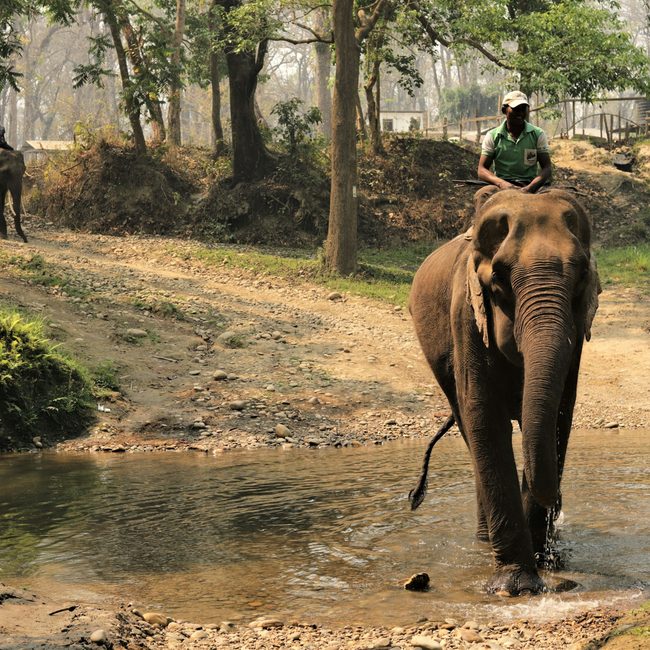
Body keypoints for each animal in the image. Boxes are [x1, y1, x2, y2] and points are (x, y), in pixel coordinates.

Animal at [408, 186, 600, 596]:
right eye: (498, 278)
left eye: (581, 277)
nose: (557, 504)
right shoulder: (465, 315)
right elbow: (485, 418)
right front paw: (516, 587)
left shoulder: (576, 341)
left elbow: (558, 417)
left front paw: (544, 562)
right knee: (468, 427)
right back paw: (485, 541)